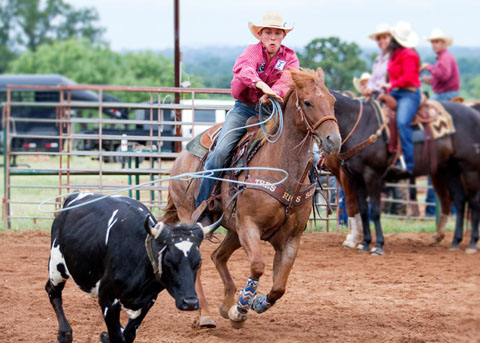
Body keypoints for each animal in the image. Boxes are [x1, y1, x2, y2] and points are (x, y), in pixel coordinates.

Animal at [45, 194, 221, 343]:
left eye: (198, 262)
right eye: (169, 261)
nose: (190, 303)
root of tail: (72, 197)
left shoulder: (147, 301)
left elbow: (129, 334)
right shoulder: (108, 300)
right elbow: (117, 337)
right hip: (57, 267)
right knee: (52, 291)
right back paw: (65, 333)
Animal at [164, 68, 342, 330]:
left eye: (332, 101)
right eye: (308, 102)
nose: (333, 140)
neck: (282, 168)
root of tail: (180, 157)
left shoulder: (290, 239)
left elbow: (279, 287)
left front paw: (252, 304)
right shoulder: (249, 226)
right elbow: (257, 266)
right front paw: (240, 310)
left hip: (233, 229)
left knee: (218, 256)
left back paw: (225, 303)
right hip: (194, 219)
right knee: (198, 263)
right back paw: (206, 315)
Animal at [328, 92, 480, 256]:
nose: (330, 141)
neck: (360, 125)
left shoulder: (372, 177)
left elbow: (374, 210)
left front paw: (378, 245)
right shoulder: (356, 179)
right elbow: (362, 210)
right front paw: (364, 243)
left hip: (470, 170)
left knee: (473, 202)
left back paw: (472, 243)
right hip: (450, 170)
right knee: (459, 200)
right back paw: (455, 241)